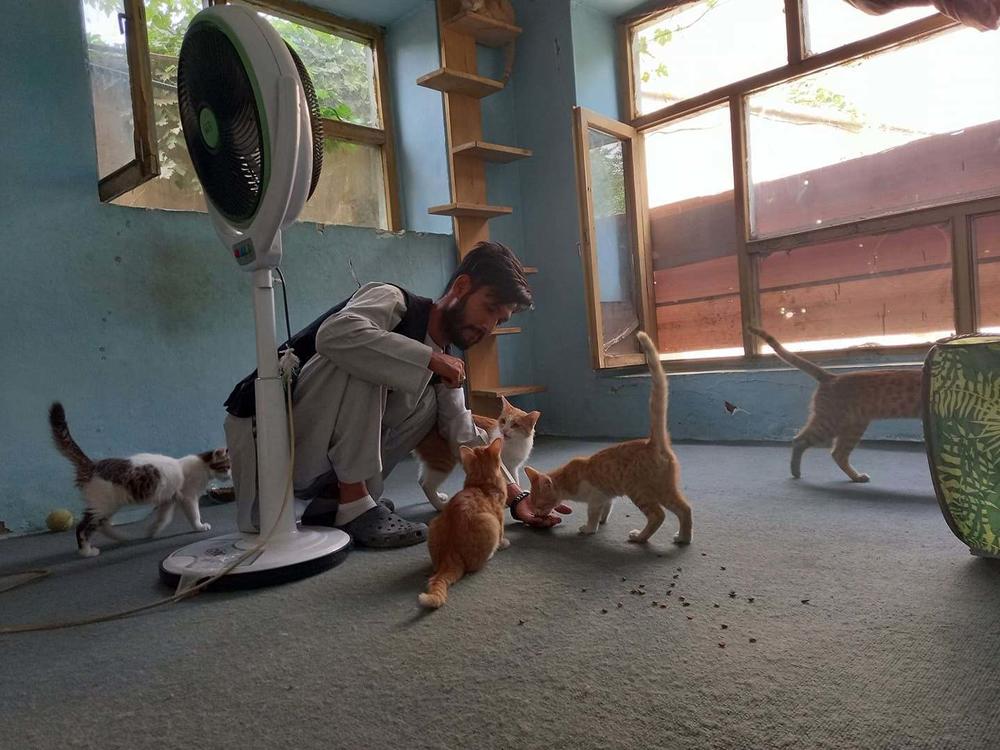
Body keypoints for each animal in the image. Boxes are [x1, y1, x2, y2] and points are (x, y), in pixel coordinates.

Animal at [48, 406, 230, 560]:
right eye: (227, 466)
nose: (229, 476)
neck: (203, 466)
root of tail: (92, 465)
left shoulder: (168, 499)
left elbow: (164, 519)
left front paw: (152, 531)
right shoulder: (188, 497)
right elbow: (194, 514)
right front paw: (199, 526)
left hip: (108, 506)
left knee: (102, 525)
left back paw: (122, 537)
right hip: (102, 505)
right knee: (83, 528)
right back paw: (87, 551)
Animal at [412, 396, 540, 516]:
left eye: (515, 425)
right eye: (503, 421)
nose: (504, 430)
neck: (513, 443)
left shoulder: (512, 467)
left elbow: (513, 479)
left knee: (422, 480)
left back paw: (439, 496)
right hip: (442, 461)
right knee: (427, 484)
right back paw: (440, 505)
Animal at [418, 440, 508, 612]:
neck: (482, 484)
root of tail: (450, 554)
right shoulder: (499, 515)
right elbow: (502, 533)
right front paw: (504, 543)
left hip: (434, 524)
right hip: (490, 522)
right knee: (474, 565)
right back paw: (490, 554)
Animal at [520, 334, 692, 548]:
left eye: (538, 504)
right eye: (533, 504)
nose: (535, 513)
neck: (568, 478)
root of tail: (653, 442)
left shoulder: (595, 496)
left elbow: (592, 514)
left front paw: (589, 528)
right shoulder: (607, 496)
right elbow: (607, 508)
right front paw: (603, 520)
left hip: (639, 490)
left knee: (657, 515)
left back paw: (640, 537)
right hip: (665, 489)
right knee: (685, 508)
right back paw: (684, 537)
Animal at [752, 328, 920, 482]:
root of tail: (831, 376)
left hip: (853, 426)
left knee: (838, 454)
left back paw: (856, 477)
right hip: (830, 423)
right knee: (799, 440)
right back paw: (796, 472)